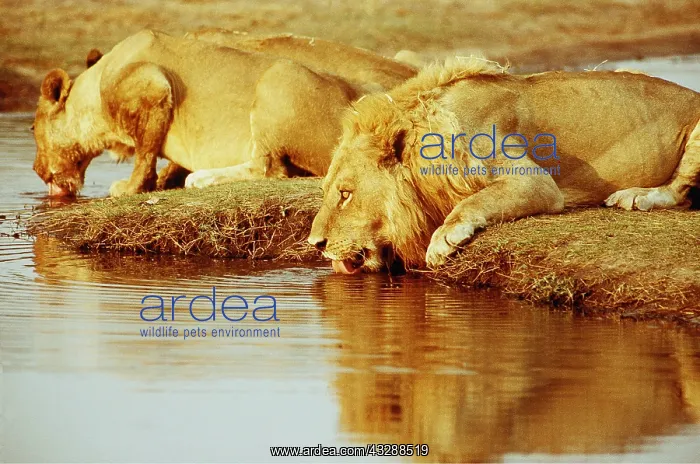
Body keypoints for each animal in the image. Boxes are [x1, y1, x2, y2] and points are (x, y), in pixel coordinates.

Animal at [32, 29, 417, 197]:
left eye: (34, 131)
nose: (36, 170)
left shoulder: (155, 85)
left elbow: (145, 152)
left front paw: (131, 187)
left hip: (278, 77)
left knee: (270, 169)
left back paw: (202, 178)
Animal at [307, 57, 700, 273]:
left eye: (345, 194)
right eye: (327, 191)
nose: (315, 244)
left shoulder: (535, 182)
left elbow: (474, 201)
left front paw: (443, 239)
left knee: (679, 191)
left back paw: (637, 196)